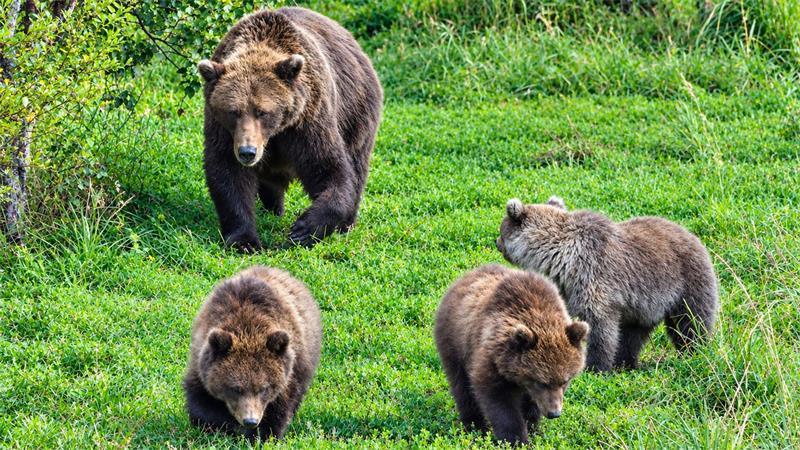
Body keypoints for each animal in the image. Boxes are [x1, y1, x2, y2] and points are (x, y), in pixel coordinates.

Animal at [183, 266, 322, 440]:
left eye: (264, 388)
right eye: (236, 388)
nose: (250, 420)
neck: (248, 327)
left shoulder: (290, 373)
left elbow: (279, 409)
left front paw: (262, 435)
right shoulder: (201, 360)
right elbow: (202, 403)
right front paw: (216, 427)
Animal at [198, 7, 383, 250]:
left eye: (262, 111)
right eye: (233, 111)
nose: (248, 152)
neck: (275, 133)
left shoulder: (308, 120)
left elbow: (330, 168)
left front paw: (303, 229)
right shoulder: (223, 130)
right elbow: (227, 173)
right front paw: (245, 241)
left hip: (356, 112)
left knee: (357, 163)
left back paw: (346, 224)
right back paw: (272, 208)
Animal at [434, 264, 589, 445]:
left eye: (565, 381)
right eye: (541, 382)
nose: (554, 413)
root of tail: (464, 278)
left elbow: (531, 404)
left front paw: (533, 428)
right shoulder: (492, 360)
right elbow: (500, 402)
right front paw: (517, 439)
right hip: (455, 342)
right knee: (462, 387)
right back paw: (474, 425)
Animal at [496, 197, 719, 372]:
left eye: (501, 229)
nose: (496, 243)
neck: (562, 257)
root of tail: (695, 238)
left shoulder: (595, 277)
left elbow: (599, 327)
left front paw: (594, 366)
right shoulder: (570, 288)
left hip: (686, 282)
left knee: (691, 321)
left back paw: (694, 352)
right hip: (643, 307)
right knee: (632, 334)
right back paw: (625, 363)